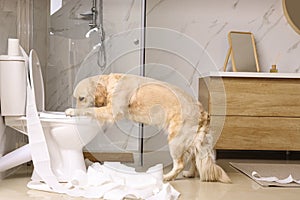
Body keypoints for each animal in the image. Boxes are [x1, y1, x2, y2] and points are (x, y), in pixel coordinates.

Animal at [65, 73, 230, 183]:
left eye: (81, 98)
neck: (112, 83)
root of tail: (203, 111)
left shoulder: (112, 111)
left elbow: (91, 110)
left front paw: (73, 111)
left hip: (175, 141)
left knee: (179, 164)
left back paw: (166, 177)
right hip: (192, 141)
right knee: (195, 159)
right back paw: (190, 174)